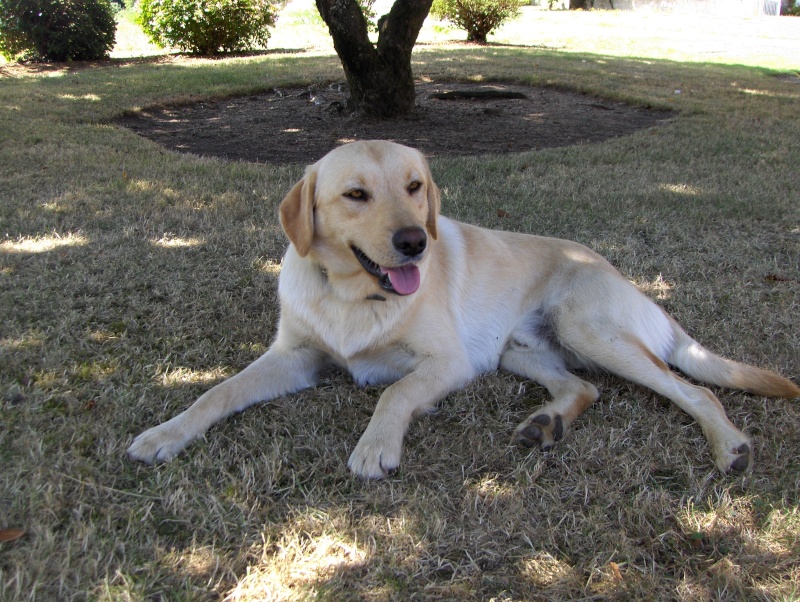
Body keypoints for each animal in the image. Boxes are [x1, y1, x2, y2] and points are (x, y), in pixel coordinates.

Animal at [128, 139, 796, 478]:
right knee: (583, 388)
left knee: (694, 390)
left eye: (415, 186)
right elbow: (216, 392)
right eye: (356, 195)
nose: (414, 242)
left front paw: (376, 446)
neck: (352, 294)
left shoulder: (450, 362)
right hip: (516, 350)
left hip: (585, 329)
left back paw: (729, 446)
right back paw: (546, 423)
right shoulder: (293, 357)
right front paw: (167, 433)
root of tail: (617, 272)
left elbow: (394, 393)